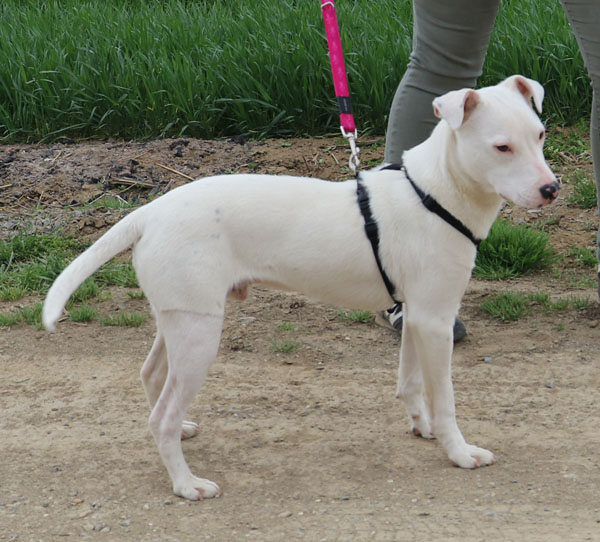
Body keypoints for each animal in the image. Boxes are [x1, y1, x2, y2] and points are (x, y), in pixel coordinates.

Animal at [43, 75, 559, 500]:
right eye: (501, 148)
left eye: (539, 135)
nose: (551, 189)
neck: (434, 192)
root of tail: (151, 210)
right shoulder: (434, 319)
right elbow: (445, 397)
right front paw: (459, 452)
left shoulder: (420, 317)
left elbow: (411, 382)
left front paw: (422, 427)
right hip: (199, 335)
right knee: (161, 414)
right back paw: (186, 483)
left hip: (181, 319)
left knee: (153, 377)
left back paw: (181, 436)